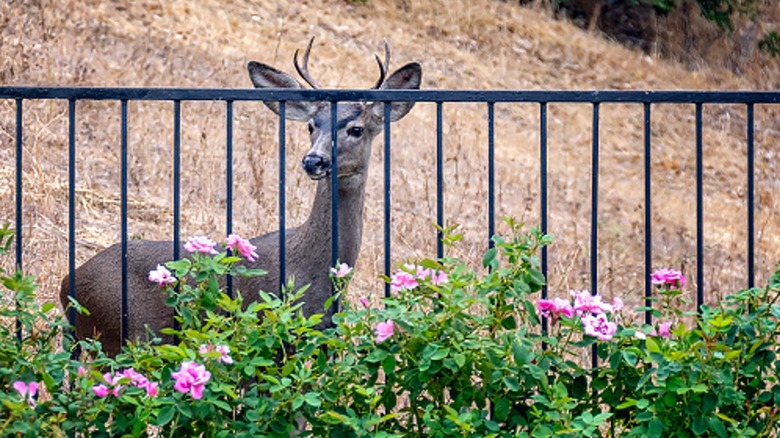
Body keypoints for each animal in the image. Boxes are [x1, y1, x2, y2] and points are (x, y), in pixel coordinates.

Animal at [60, 38, 424, 356]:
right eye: (311, 125)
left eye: (357, 129)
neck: (313, 269)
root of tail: (67, 285)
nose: (313, 161)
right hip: (119, 335)